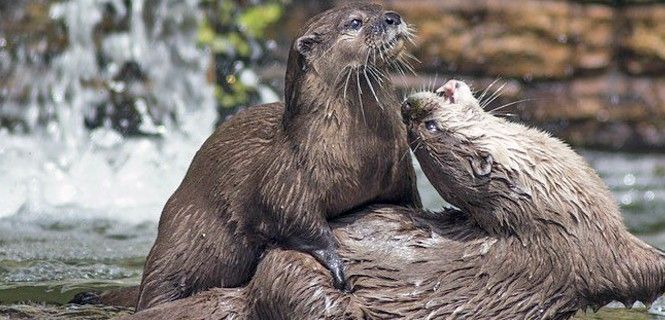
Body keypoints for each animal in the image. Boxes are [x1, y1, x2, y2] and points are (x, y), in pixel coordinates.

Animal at [135, 2, 420, 312]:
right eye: (355, 22)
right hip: (182, 238)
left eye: (379, 7)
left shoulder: (402, 171)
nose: (393, 18)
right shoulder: (288, 178)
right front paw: (336, 262)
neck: (361, 153)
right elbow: (295, 219)